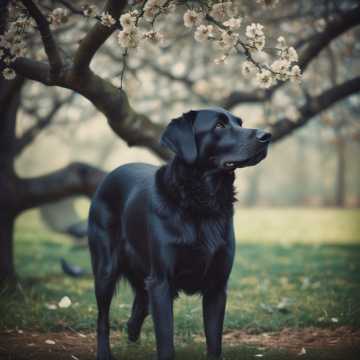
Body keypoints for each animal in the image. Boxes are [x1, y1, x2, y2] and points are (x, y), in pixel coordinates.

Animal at [88, 107, 272, 360]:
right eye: (219, 126)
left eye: (239, 123)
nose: (267, 136)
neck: (203, 202)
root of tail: (108, 176)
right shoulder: (162, 282)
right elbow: (166, 340)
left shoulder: (216, 286)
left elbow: (214, 342)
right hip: (106, 269)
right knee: (103, 318)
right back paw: (105, 352)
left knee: (140, 303)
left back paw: (132, 330)